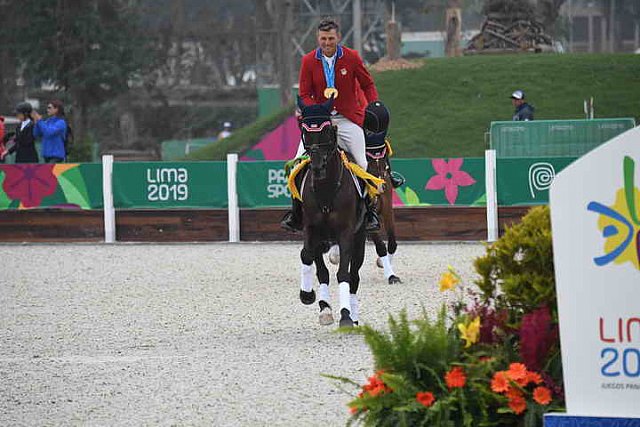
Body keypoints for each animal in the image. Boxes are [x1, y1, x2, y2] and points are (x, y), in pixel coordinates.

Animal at [296, 96, 364, 328]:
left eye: (326, 131)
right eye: (305, 130)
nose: (317, 166)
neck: (326, 189)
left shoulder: (346, 232)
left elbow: (344, 273)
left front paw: (346, 315)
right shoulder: (311, 228)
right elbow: (308, 257)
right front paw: (308, 295)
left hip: (360, 237)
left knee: (354, 275)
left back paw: (353, 314)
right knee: (323, 271)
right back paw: (325, 308)